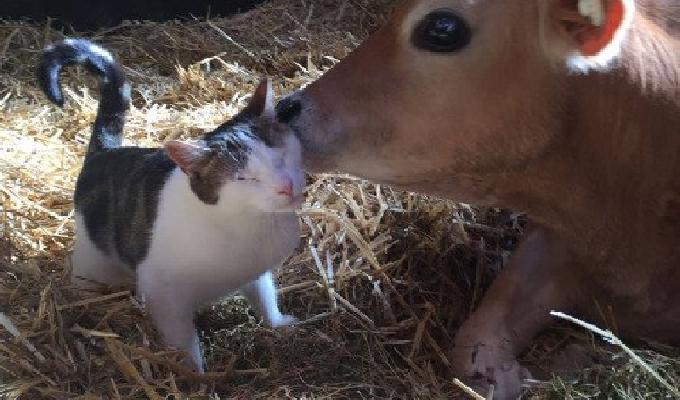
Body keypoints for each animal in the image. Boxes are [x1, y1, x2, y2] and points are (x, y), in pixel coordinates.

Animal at [37, 39, 302, 374]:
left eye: (279, 155)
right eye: (244, 177)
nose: (286, 185)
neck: (245, 225)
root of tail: (104, 152)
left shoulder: (255, 273)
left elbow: (266, 298)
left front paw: (280, 323)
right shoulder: (164, 298)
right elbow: (184, 345)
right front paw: (197, 377)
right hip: (91, 267)